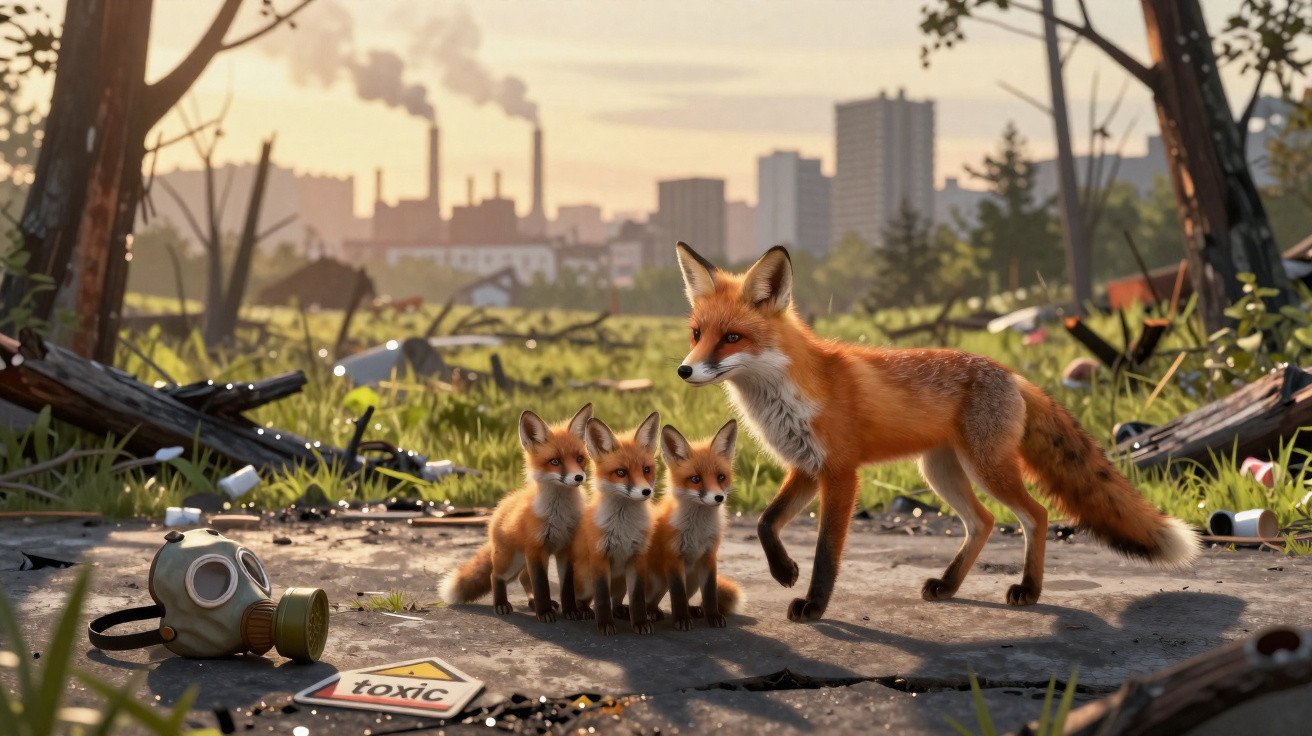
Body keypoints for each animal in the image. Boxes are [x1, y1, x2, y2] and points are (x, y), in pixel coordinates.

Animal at [440, 403, 593, 622]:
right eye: (555, 461)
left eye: (580, 459)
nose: (579, 477)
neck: (559, 514)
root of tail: (499, 509)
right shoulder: (536, 550)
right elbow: (542, 586)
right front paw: (544, 612)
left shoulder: (566, 549)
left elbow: (567, 588)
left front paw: (571, 610)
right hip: (512, 561)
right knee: (495, 575)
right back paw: (502, 604)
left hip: (522, 561)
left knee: (523, 577)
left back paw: (533, 602)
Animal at [570, 412, 661, 635]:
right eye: (621, 473)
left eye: (646, 470)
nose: (646, 491)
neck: (624, 527)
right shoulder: (600, 557)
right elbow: (602, 598)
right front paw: (604, 623)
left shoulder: (638, 558)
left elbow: (637, 598)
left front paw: (639, 621)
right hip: (585, 580)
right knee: (586, 600)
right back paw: (584, 610)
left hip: (620, 584)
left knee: (616, 601)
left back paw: (621, 610)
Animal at [644, 420, 743, 630]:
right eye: (696, 479)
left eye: (721, 477)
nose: (719, 497)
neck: (698, 530)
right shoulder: (674, 558)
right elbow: (678, 596)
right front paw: (681, 619)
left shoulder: (709, 557)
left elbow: (710, 594)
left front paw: (713, 616)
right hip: (658, 581)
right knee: (652, 601)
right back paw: (650, 613)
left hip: (693, 579)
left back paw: (692, 610)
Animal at [673, 241, 1199, 622]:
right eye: (697, 334)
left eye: (733, 338)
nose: (683, 371)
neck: (785, 394)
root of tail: (1012, 374)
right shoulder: (806, 466)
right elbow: (765, 522)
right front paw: (783, 571)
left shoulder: (841, 473)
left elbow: (826, 553)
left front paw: (814, 605)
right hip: (941, 471)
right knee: (983, 521)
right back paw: (948, 585)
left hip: (986, 469)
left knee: (1036, 515)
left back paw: (1028, 589)